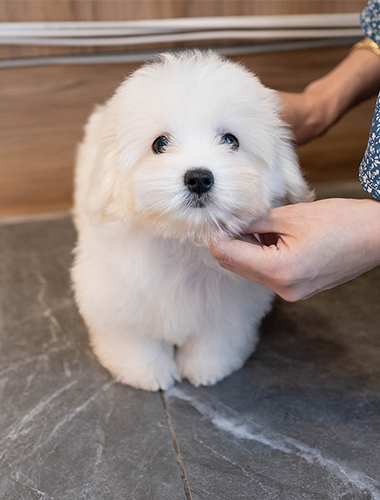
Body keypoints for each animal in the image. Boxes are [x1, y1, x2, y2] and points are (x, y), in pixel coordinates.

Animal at [72, 51, 312, 394]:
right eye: (159, 144)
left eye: (231, 140)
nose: (199, 178)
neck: (184, 242)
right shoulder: (116, 295)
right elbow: (133, 338)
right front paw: (145, 372)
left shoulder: (232, 308)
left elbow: (216, 339)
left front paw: (207, 368)